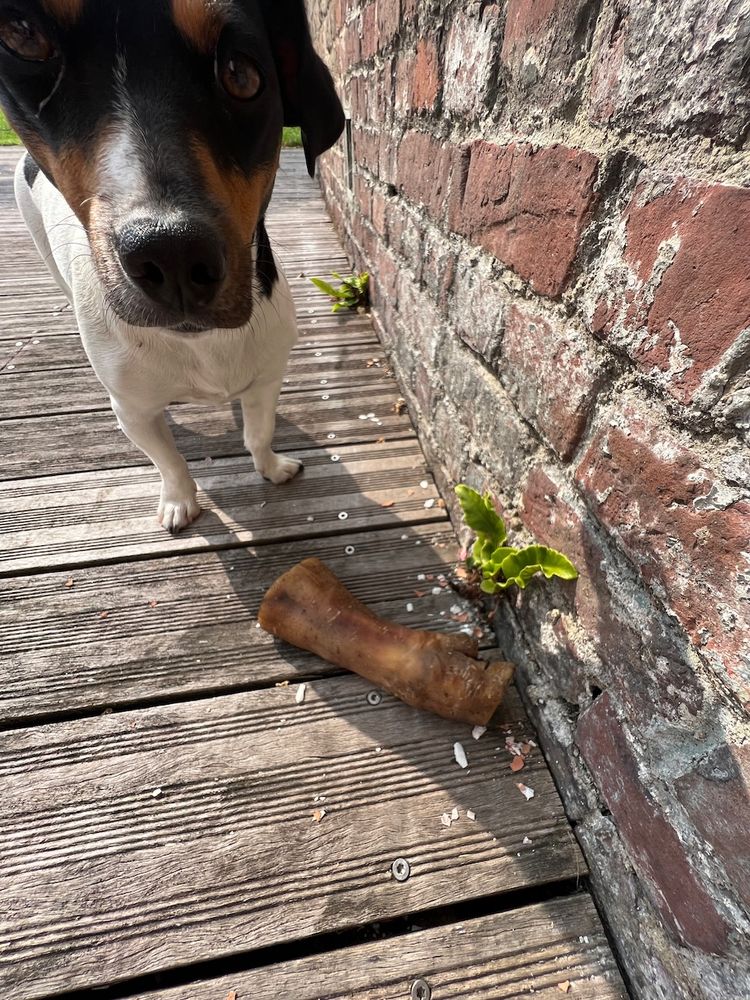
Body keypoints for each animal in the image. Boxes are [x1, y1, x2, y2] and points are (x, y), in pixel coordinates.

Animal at [0, 0, 346, 532]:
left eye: (241, 73)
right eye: (22, 34)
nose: (172, 254)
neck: (200, 342)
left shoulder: (266, 378)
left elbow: (258, 433)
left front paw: (270, 466)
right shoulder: (135, 410)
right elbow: (169, 461)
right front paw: (181, 499)